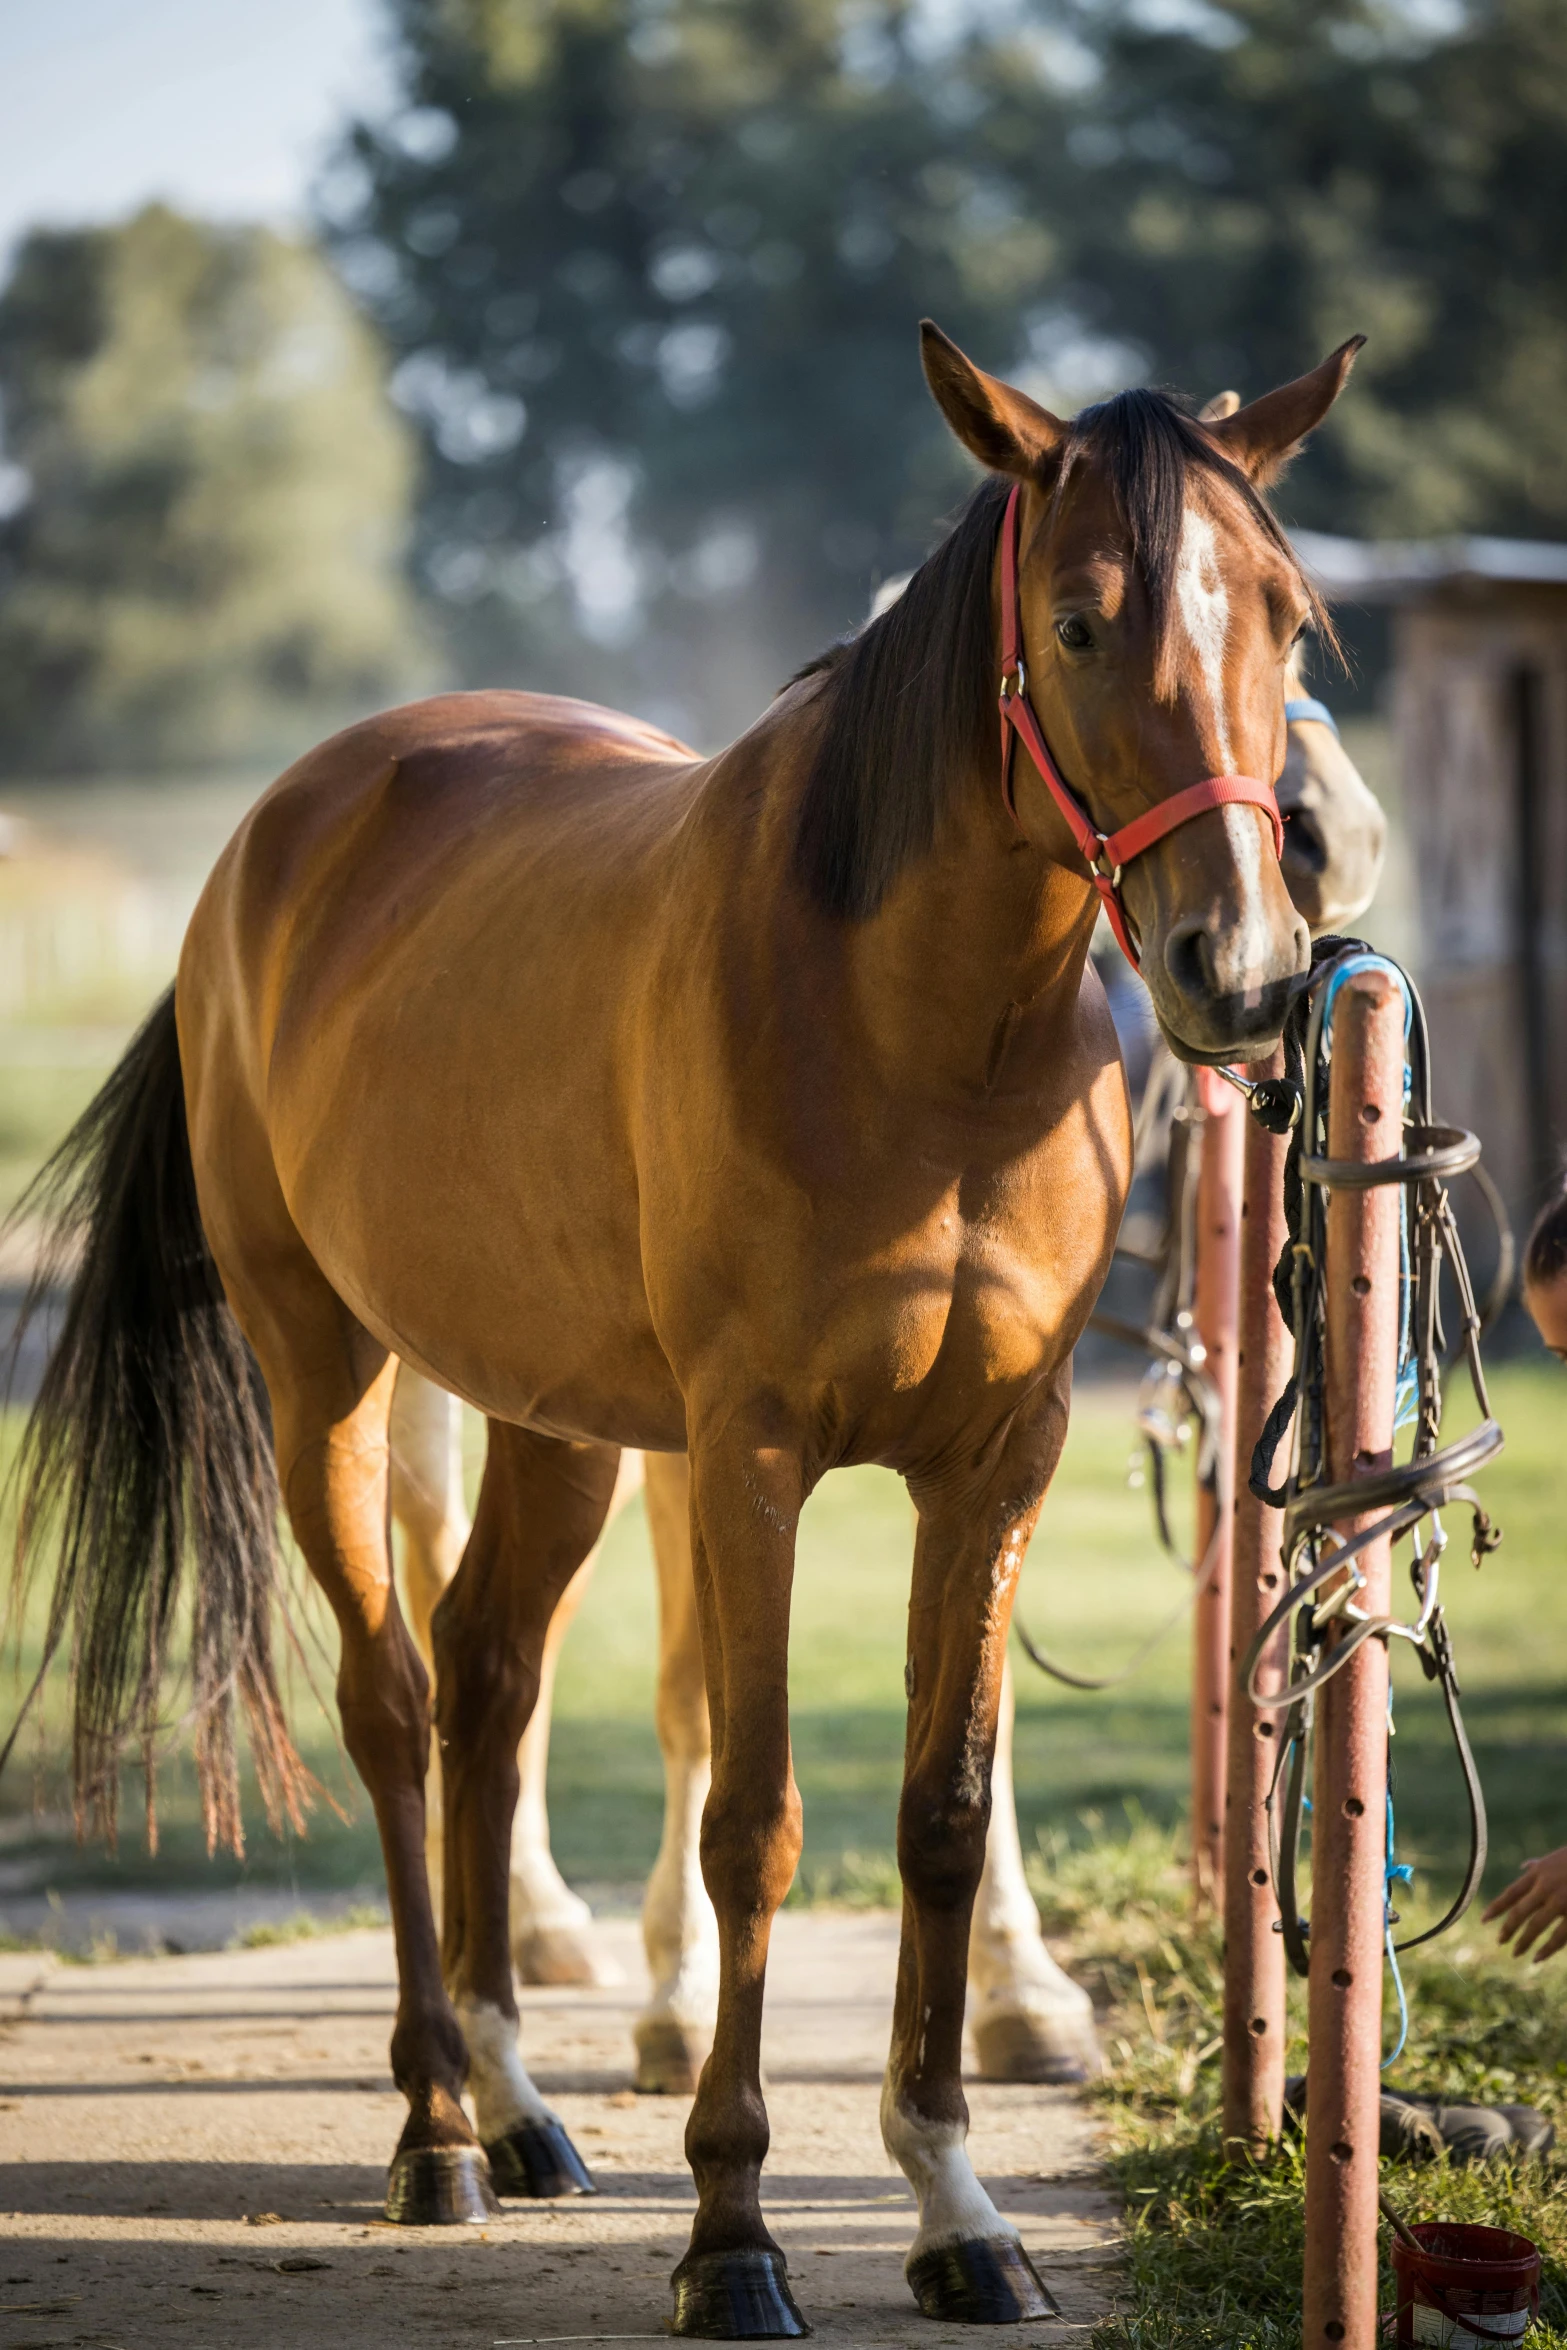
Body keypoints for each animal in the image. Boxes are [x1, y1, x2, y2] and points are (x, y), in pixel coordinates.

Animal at [6, 326, 1362, 2331]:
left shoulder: (995, 1461)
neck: (916, 1030)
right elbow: (753, 1815)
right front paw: (732, 2230)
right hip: (328, 1371)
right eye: (1082, 617)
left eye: (1285, 617)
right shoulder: (749, 1457)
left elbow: (940, 1811)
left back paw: (515, 2108)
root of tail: (274, 835)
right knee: (396, 1702)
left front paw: (956, 2205)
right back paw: (433, 2129)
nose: (1244, 967)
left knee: (488, 1679)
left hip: (556, 1421)